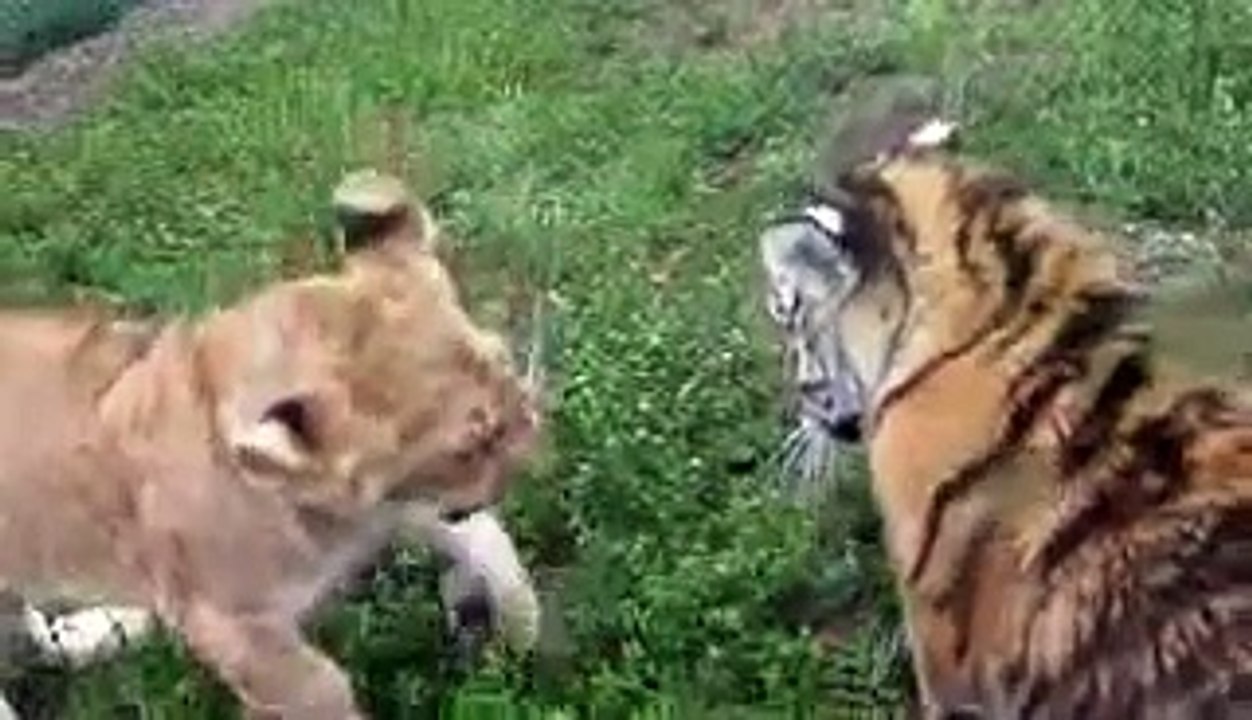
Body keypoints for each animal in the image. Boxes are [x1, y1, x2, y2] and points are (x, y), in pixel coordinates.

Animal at [0, 170, 542, 720]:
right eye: (470, 446)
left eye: (503, 364)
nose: (536, 437)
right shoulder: (233, 628)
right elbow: (322, 692)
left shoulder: (405, 503)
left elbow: (488, 542)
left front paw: (522, 634)